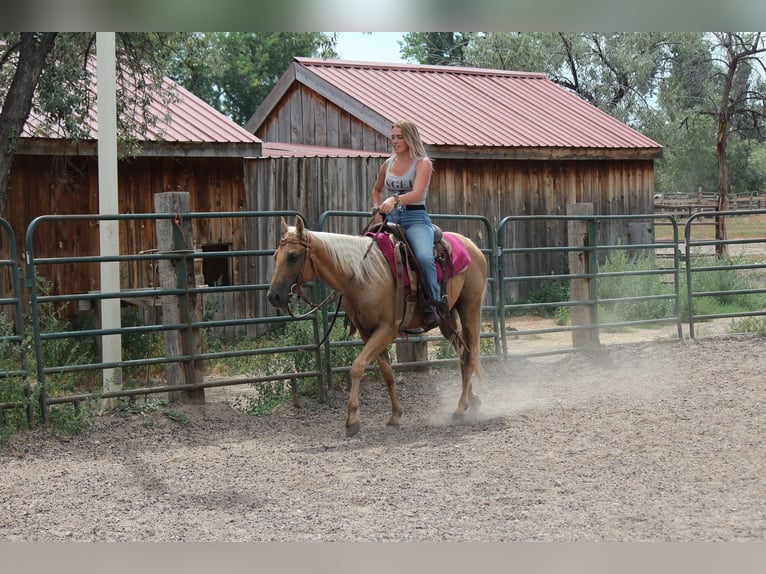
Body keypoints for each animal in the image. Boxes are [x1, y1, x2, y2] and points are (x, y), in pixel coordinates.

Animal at [267, 215, 488, 437]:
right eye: (276, 255)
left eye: (293, 256)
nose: (273, 297)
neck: (362, 277)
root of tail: (472, 246)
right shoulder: (367, 332)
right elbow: (387, 373)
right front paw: (395, 415)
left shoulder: (386, 330)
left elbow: (357, 367)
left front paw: (352, 420)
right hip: (446, 318)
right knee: (463, 353)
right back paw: (472, 400)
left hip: (469, 308)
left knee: (469, 353)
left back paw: (459, 409)